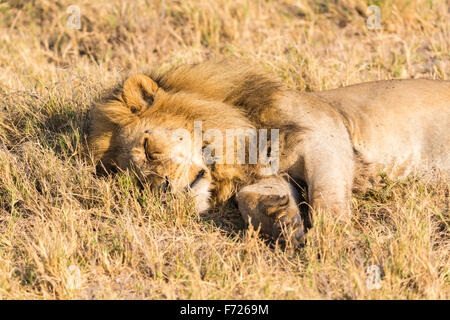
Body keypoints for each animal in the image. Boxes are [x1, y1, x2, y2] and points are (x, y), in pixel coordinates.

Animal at [88, 60, 450, 242]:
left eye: (149, 150)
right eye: (139, 183)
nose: (162, 189)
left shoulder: (328, 138)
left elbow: (326, 199)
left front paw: (330, 240)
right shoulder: (263, 175)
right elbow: (252, 198)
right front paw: (282, 221)